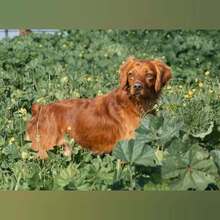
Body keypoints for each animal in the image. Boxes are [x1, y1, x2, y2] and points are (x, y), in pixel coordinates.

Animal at [24, 57, 171, 159]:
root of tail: (40, 109)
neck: (137, 103)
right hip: (44, 149)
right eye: (131, 74)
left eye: (149, 75)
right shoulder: (127, 145)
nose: (137, 86)